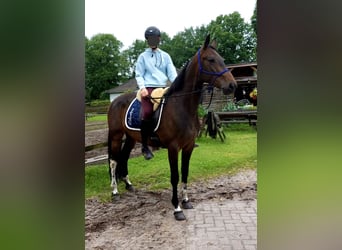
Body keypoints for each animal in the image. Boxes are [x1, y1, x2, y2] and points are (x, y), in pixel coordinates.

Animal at [107, 33, 238, 221]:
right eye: (211, 59)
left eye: (222, 59)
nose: (232, 85)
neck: (182, 107)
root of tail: (115, 101)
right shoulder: (173, 148)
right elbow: (175, 176)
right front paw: (177, 208)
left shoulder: (188, 147)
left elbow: (185, 172)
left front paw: (186, 201)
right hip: (116, 136)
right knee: (113, 161)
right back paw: (115, 192)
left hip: (131, 138)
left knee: (123, 158)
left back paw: (129, 184)